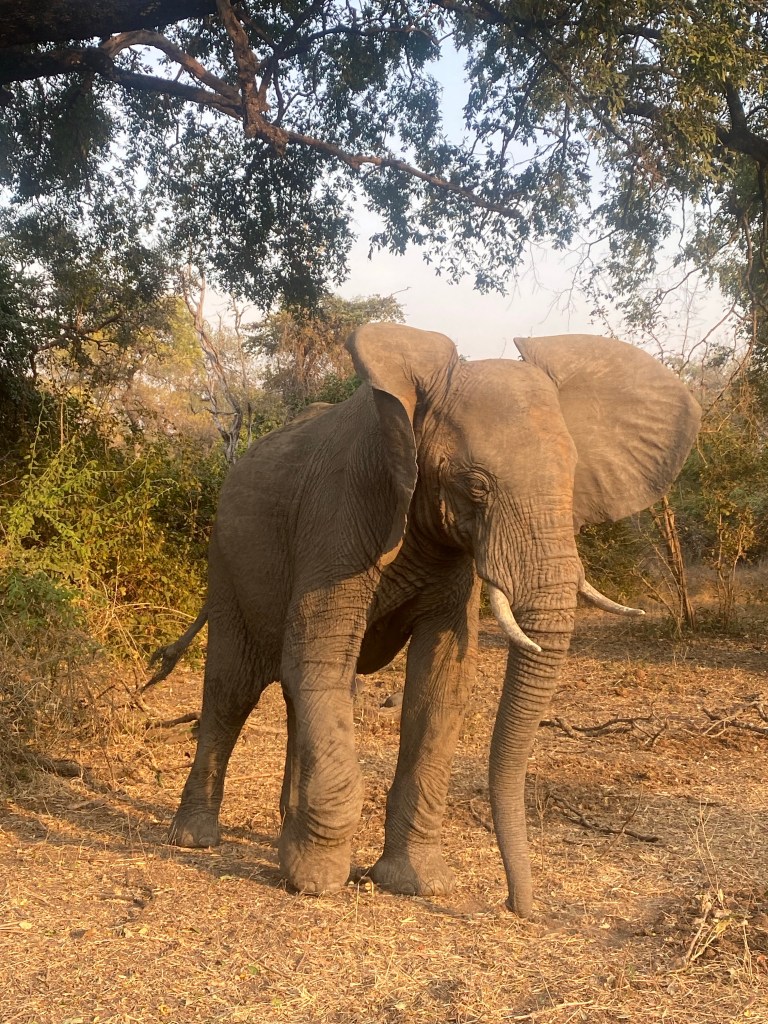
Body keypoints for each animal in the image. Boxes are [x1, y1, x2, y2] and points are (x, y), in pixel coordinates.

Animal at [165, 324, 700, 917]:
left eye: (573, 480)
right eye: (476, 486)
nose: (519, 907)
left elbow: (440, 681)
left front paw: (416, 883)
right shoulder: (340, 511)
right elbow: (319, 659)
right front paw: (317, 881)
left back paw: (283, 833)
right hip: (226, 558)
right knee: (234, 688)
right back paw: (195, 838)